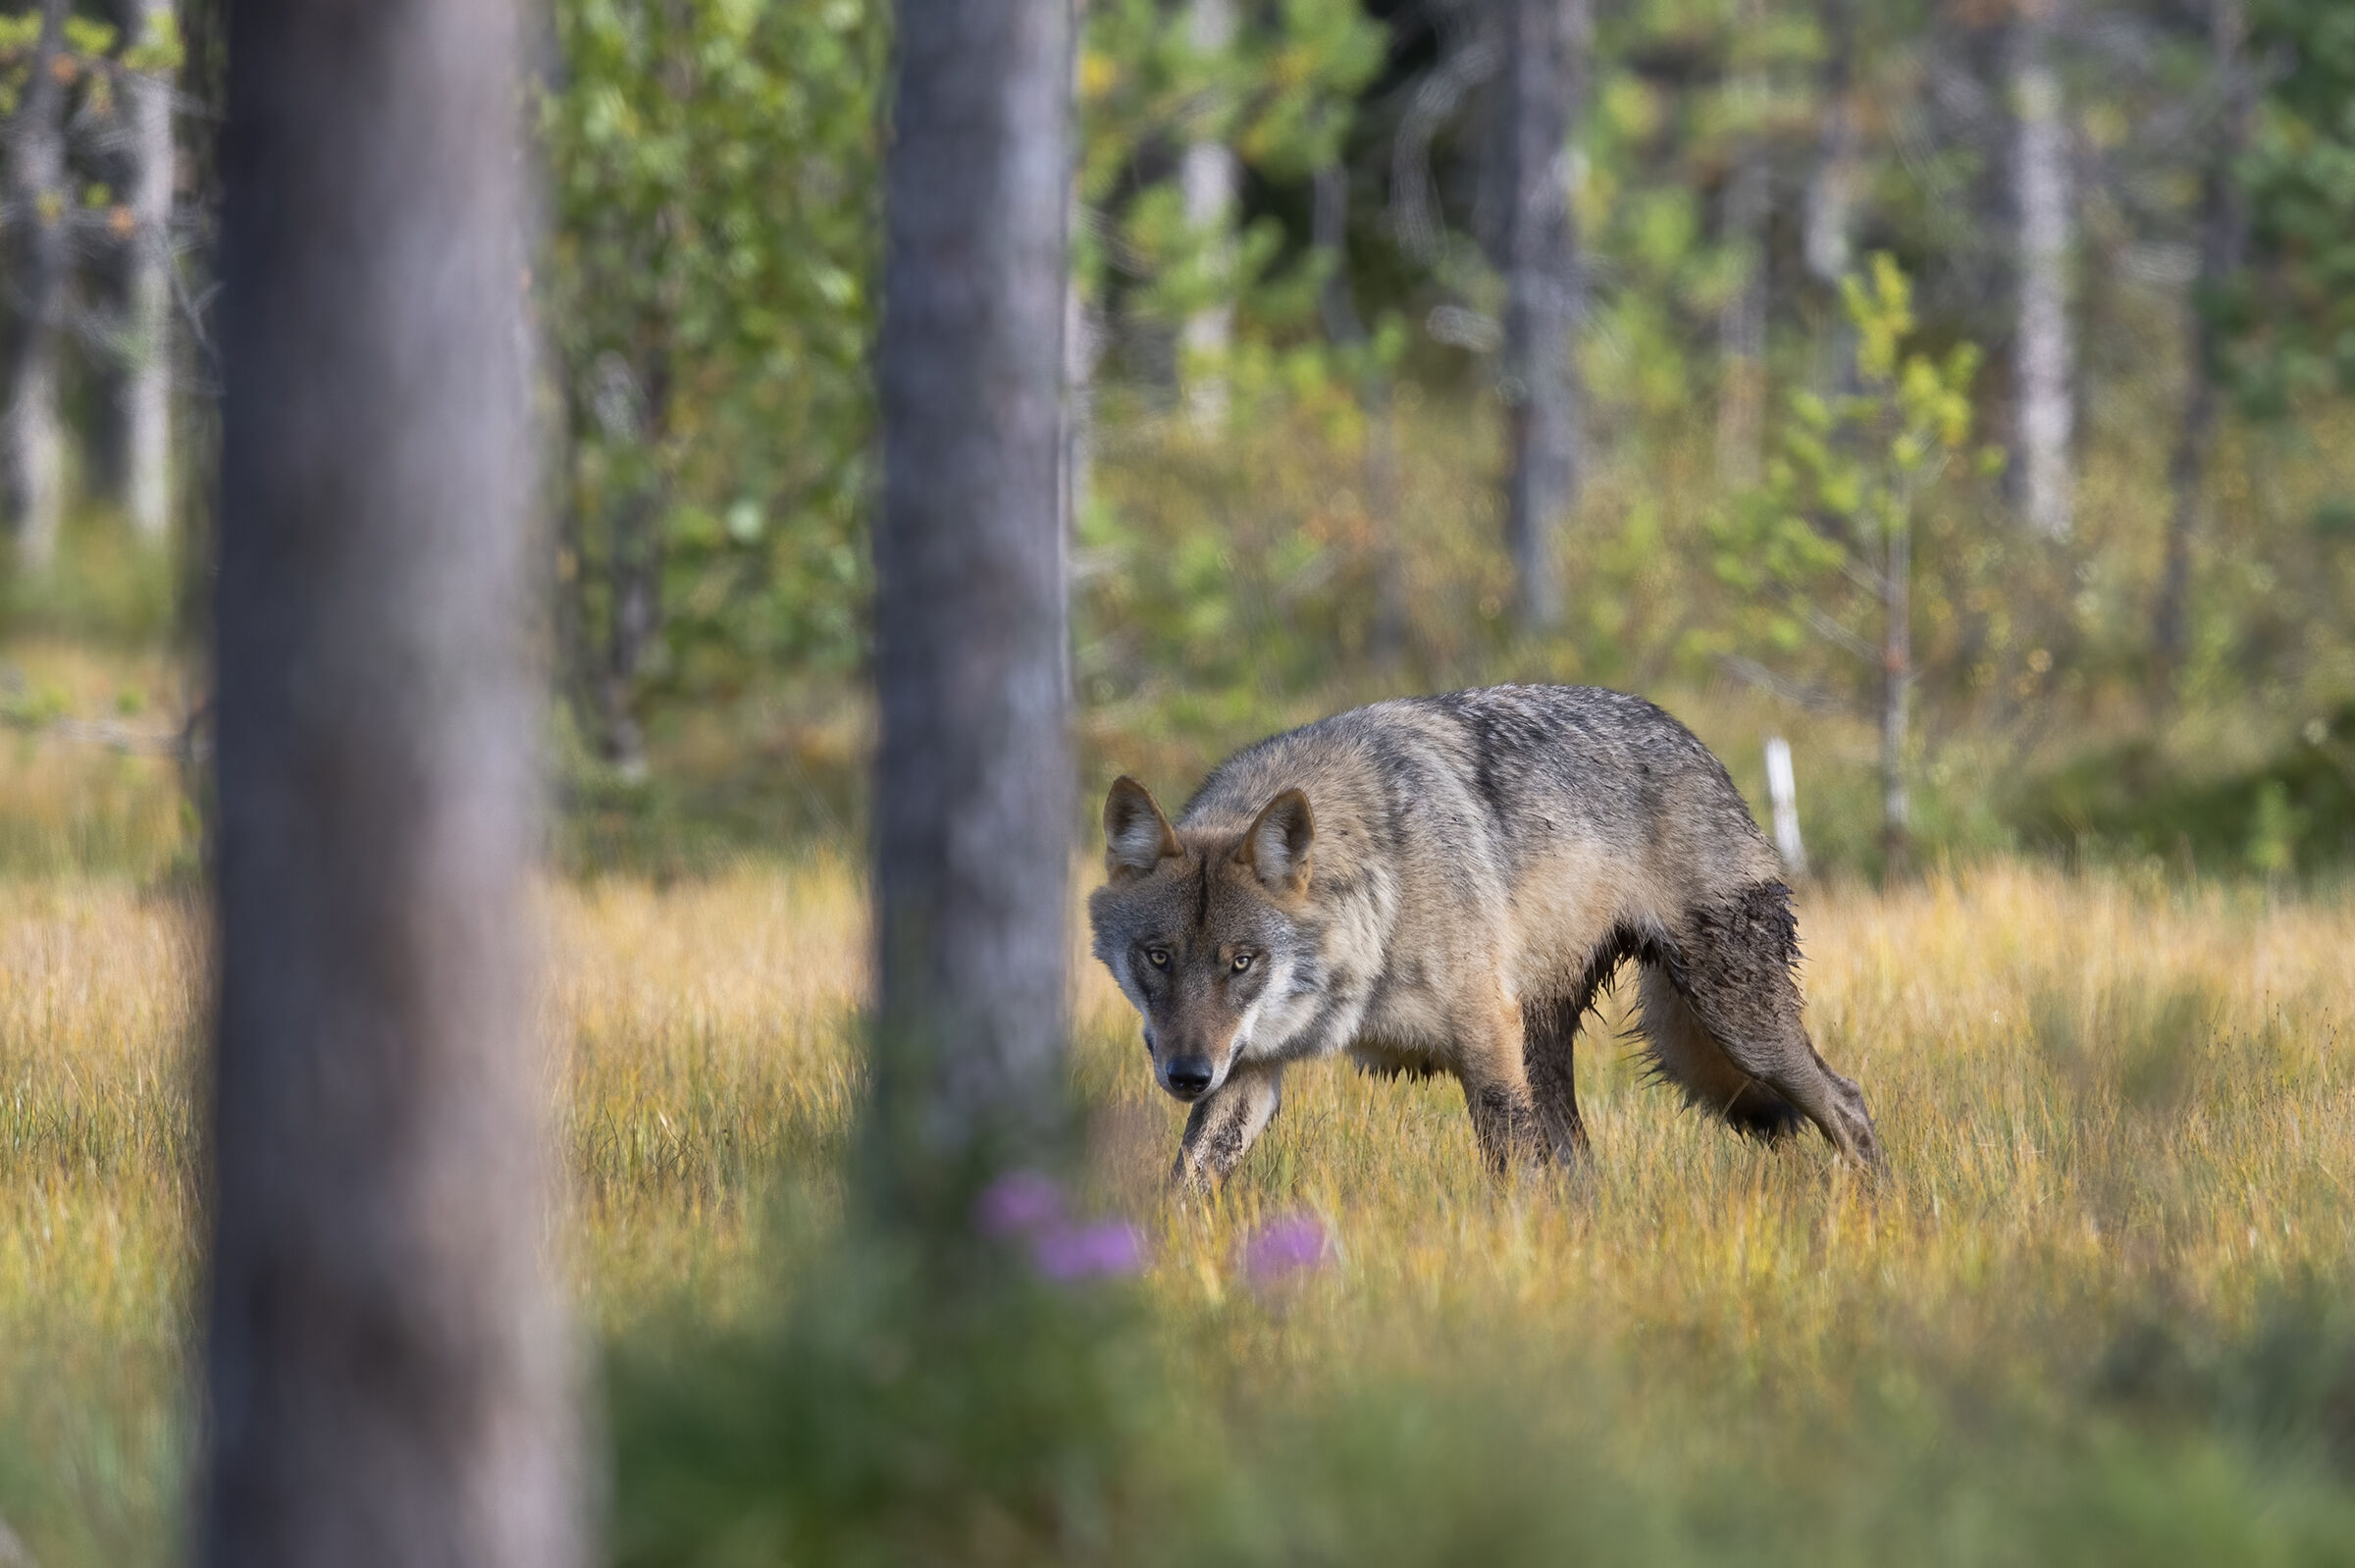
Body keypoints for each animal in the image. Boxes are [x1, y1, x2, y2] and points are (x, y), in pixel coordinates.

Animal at [1087, 685, 1886, 1190]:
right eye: (1158, 958)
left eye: (1242, 961)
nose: (1187, 1076)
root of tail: (1696, 742)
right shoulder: (1249, 1070)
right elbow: (1186, 1183)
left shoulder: (1485, 1045)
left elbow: (1512, 1181)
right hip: (1555, 1054)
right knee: (1582, 1166)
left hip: (1735, 1022)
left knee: (1847, 1103)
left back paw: (1874, 1212)